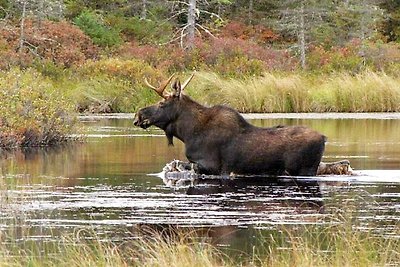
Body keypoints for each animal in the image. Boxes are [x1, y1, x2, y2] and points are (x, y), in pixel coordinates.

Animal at [133, 74, 326, 177]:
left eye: (161, 104)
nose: (138, 115)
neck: (188, 133)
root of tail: (324, 138)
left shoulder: (211, 166)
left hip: (304, 169)